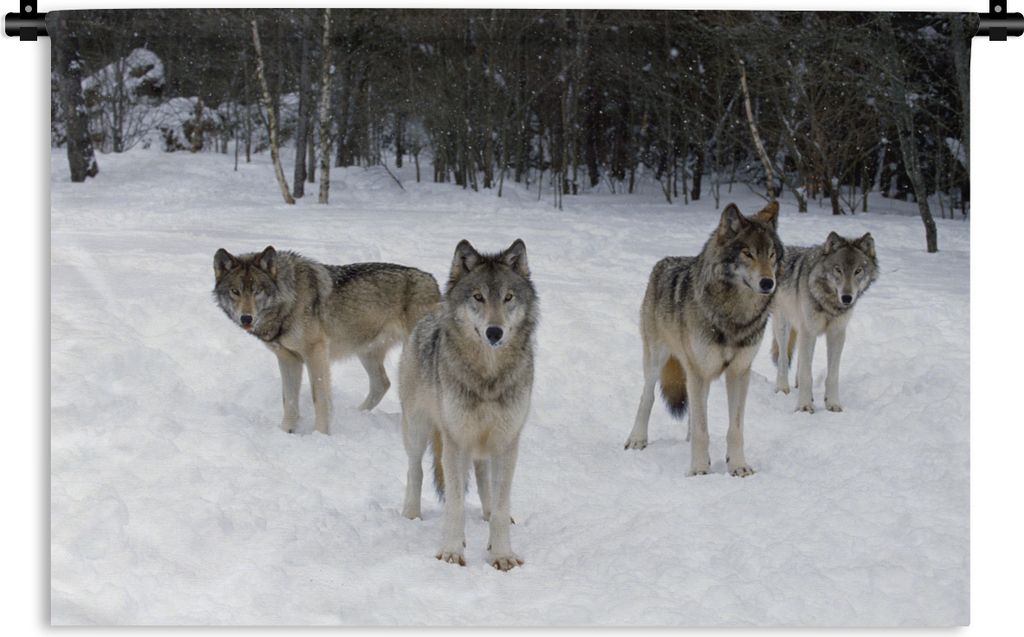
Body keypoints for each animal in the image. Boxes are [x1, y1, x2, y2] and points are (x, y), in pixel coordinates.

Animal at [212, 246, 441, 434]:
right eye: (235, 291)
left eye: (257, 291)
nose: (246, 318)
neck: (289, 301)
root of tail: (433, 281)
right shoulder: (288, 359)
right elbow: (289, 400)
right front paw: (286, 431)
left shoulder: (316, 353)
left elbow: (320, 399)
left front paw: (320, 435)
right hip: (366, 353)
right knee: (382, 384)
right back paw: (357, 414)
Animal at [399, 239, 537, 571]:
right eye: (478, 297)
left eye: (508, 297)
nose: (494, 332)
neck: (488, 376)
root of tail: (432, 311)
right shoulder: (455, 441)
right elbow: (455, 504)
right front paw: (451, 551)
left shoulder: (507, 441)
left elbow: (500, 505)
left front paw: (501, 554)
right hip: (418, 429)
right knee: (415, 470)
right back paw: (411, 514)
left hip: (483, 444)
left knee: (484, 478)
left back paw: (485, 516)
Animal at [624, 202, 782, 477]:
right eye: (748, 254)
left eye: (772, 254)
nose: (768, 283)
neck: (734, 317)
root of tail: (663, 262)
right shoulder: (698, 370)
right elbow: (701, 430)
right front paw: (699, 470)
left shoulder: (739, 372)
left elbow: (734, 429)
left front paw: (738, 466)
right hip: (658, 360)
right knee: (648, 397)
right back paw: (637, 439)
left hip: (698, 374)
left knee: (696, 409)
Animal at [770, 231, 878, 413]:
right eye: (838, 269)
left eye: (858, 271)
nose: (847, 298)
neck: (829, 303)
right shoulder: (809, 331)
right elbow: (807, 374)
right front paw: (804, 406)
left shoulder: (836, 333)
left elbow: (832, 375)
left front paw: (832, 403)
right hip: (783, 325)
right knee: (784, 358)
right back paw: (782, 388)